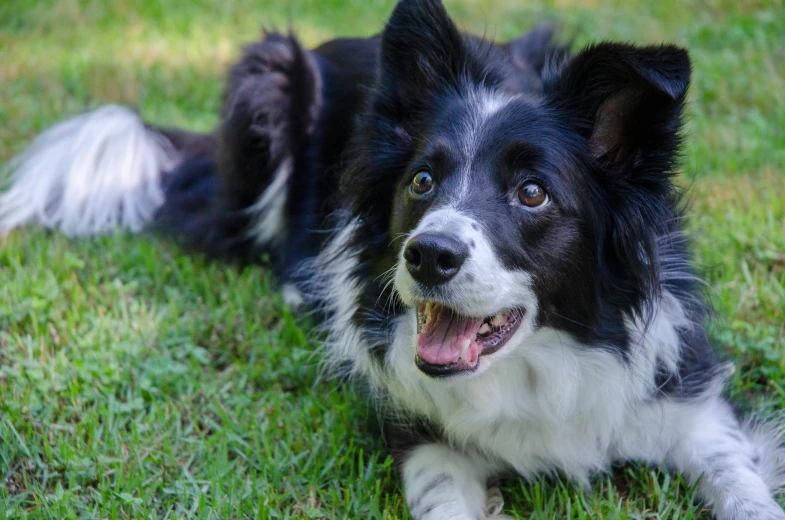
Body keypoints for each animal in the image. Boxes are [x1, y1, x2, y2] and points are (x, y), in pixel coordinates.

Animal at [1, 2, 784, 516]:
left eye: (532, 192)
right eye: (421, 181)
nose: (429, 255)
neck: (542, 363)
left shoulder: (688, 400)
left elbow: (739, 480)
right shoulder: (423, 434)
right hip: (268, 76)